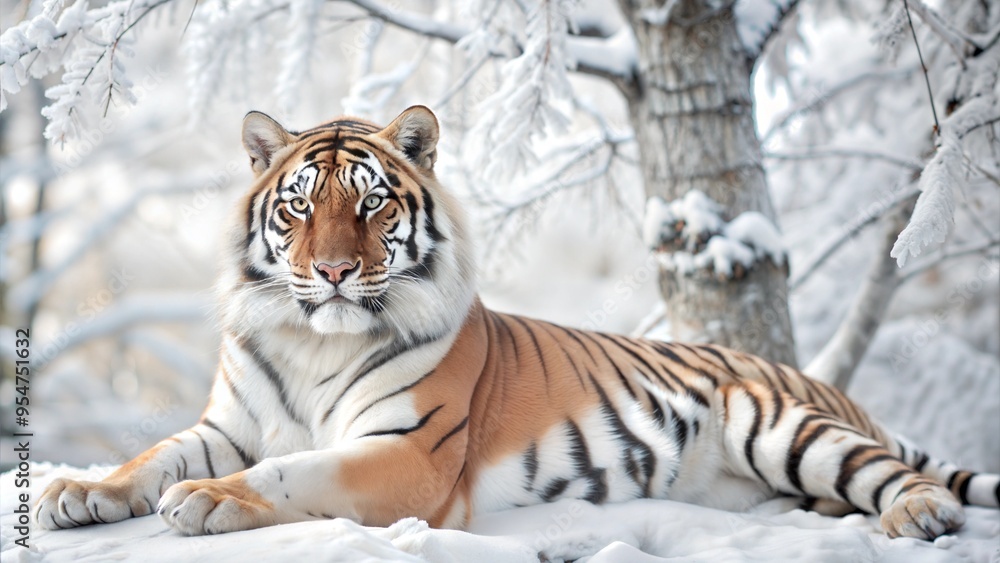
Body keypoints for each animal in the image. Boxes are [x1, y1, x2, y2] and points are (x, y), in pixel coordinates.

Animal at [35, 106, 999, 542]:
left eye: (372, 204)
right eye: (301, 207)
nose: (335, 271)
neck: (314, 338)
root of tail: (825, 387)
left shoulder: (407, 452)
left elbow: (287, 470)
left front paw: (209, 499)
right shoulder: (227, 422)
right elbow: (153, 454)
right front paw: (78, 490)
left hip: (787, 427)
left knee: (901, 476)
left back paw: (918, 515)